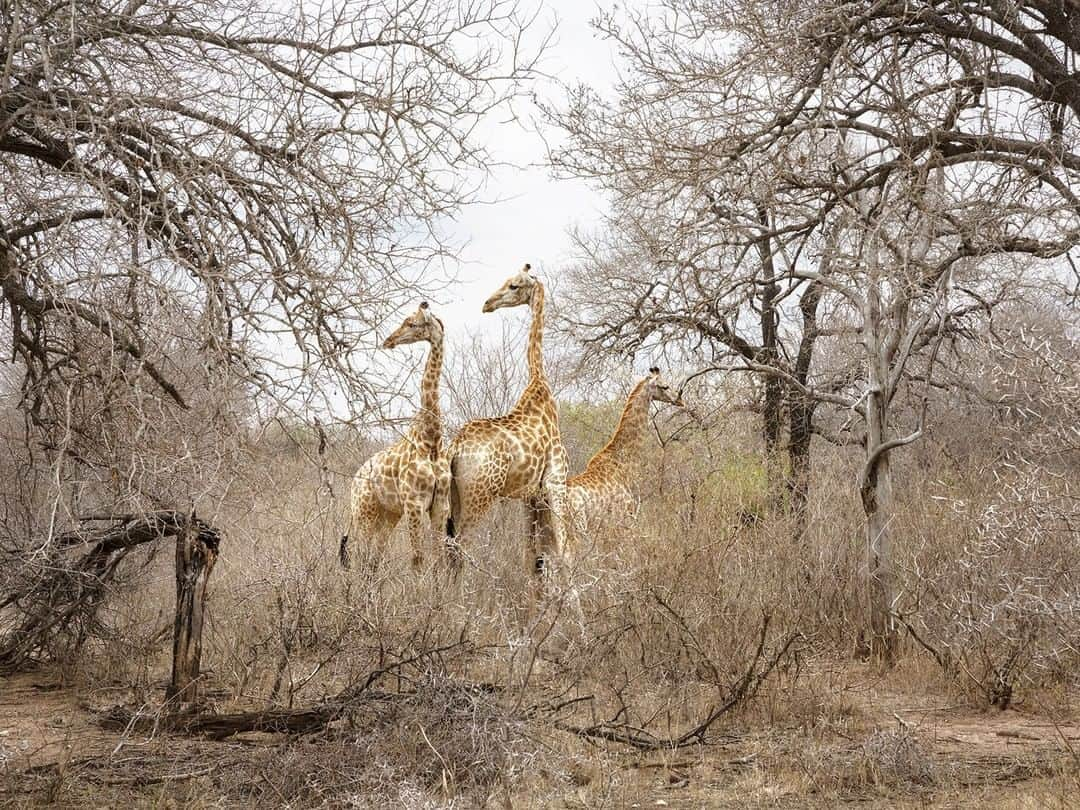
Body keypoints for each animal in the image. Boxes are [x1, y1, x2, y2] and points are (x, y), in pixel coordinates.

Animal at [341, 302, 451, 574]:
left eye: (412, 323)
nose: (388, 340)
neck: (431, 441)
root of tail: (354, 481)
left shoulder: (439, 505)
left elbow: (438, 560)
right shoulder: (414, 504)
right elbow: (418, 560)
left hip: (387, 515)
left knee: (373, 559)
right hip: (364, 512)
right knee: (360, 557)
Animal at [442, 264, 570, 583]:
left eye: (513, 285)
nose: (487, 304)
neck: (540, 384)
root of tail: (454, 448)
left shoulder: (531, 494)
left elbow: (534, 556)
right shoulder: (556, 481)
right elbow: (563, 551)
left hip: (454, 498)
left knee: (448, 548)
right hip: (479, 495)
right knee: (462, 546)